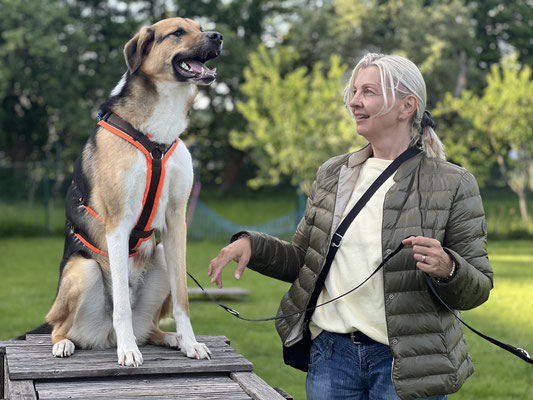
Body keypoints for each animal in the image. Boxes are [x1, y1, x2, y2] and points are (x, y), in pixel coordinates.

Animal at [44, 17, 222, 367]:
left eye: (200, 27)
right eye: (177, 32)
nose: (218, 36)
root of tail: (104, 337)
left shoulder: (176, 221)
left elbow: (183, 300)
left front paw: (190, 342)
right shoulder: (118, 222)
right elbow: (122, 306)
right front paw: (128, 351)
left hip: (163, 257)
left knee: (151, 328)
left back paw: (170, 338)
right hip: (83, 270)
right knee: (59, 326)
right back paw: (68, 344)